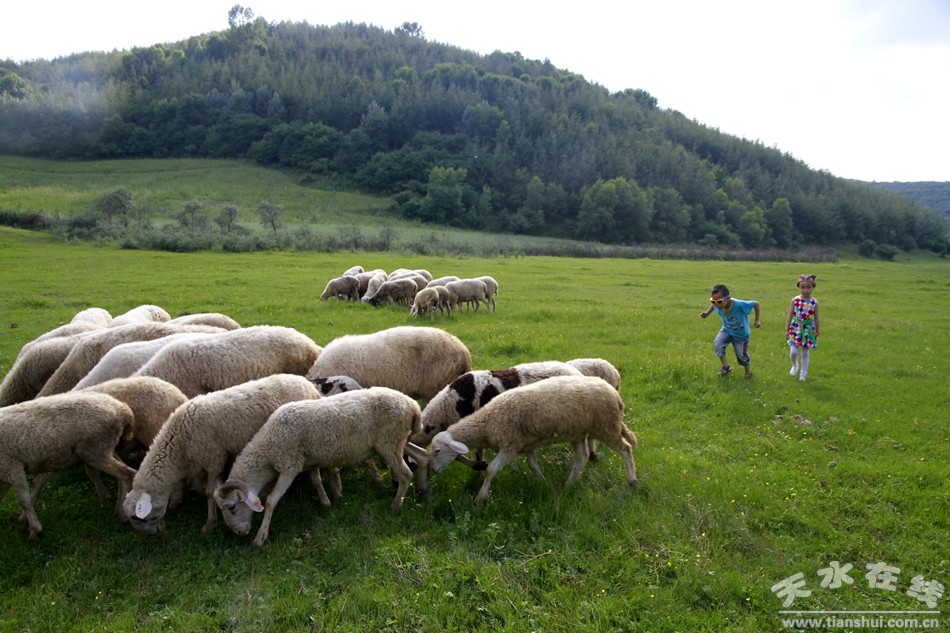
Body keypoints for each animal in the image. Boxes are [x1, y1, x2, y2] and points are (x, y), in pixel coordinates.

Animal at [0, 391, 136, 538]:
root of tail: (122, 409)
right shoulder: (4, 475)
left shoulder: (11, 465)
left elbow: (24, 500)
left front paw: (35, 530)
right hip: (104, 448)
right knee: (123, 473)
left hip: (95, 449)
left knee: (127, 474)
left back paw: (122, 514)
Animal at [124, 374, 321, 535]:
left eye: (139, 518)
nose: (154, 533)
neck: (179, 443)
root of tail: (307, 384)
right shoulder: (198, 465)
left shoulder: (214, 459)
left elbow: (210, 493)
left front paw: (210, 523)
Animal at [214, 386, 421, 548]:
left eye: (231, 507)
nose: (239, 532)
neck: (268, 446)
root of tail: (412, 405)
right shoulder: (309, 461)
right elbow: (316, 482)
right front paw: (326, 503)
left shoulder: (290, 465)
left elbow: (272, 500)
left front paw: (260, 538)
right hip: (399, 441)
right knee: (421, 457)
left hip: (389, 443)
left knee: (405, 474)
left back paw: (395, 506)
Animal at [428, 375, 638, 502]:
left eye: (437, 450)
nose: (433, 470)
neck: (487, 422)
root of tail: (615, 394)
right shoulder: (526, 445)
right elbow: (532, 465)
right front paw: (542, 482)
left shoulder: (510, 446)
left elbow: (490, 470)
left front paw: (481, 497)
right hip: (578, 432)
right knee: (581, 458)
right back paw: (569, 484)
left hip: (606, 426)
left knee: (625, 449)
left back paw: (632, 481)